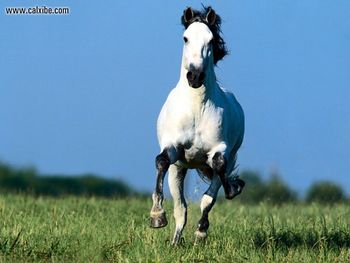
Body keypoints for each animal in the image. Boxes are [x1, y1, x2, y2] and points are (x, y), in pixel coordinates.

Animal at [149, 6, 245, 245]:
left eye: (210, 40)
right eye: (185, 38)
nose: (194, 76)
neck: (196, 107)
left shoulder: (220, 150)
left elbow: (217, 175)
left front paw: (234, 188)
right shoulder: (172, 148)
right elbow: (161, 160)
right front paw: (156, 216)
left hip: (227, 157)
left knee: (209, 194)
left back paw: (200, 234)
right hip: (179, 169)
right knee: (180, 208)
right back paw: (175, 242)